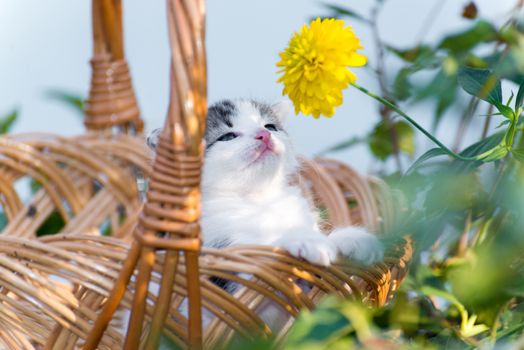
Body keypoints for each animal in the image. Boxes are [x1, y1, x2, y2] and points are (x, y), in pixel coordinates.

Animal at [147, 98, 384, 266]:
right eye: (227, 137)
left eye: (270, 126)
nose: (263, 135)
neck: (259, 198)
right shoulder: (218, 247)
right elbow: (260, 248)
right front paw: (307, 240)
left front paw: (351, 237)